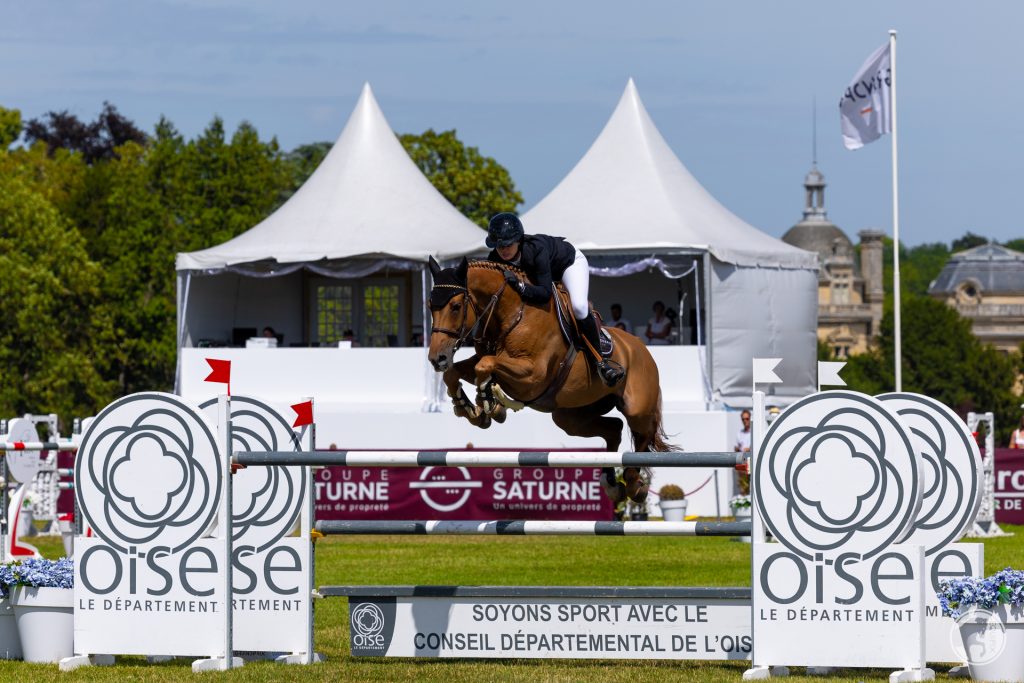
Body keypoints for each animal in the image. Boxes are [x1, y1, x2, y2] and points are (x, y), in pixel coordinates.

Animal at [428, 254, 675, 501]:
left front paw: (491, 404)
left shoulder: (532, 376)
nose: (437, 358)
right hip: (571, 416)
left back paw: (634, 485)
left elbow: (485, 365)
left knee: (643, 434)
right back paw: (613, 484)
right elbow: (456, 372)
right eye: (430, 307)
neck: (512, 314)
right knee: (614, 428)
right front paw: (472, 410)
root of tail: (640, 346)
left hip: (637, 408)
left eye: (456, 306)